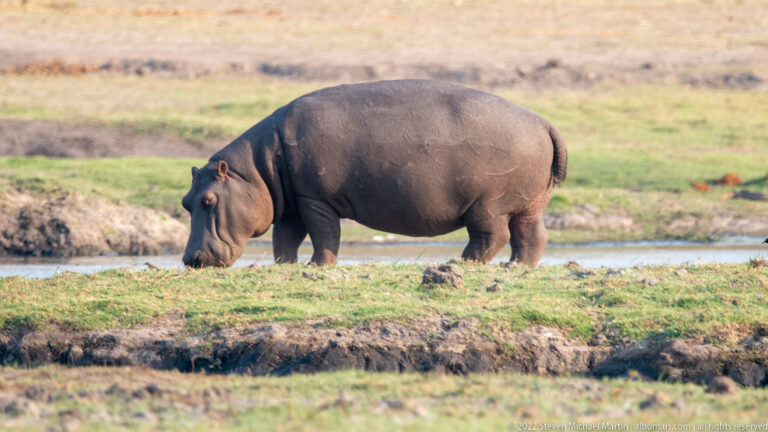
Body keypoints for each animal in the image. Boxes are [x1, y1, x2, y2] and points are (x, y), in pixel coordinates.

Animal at [182, 79, 566, 267]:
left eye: (209, 199)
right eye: (186, 201)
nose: (190, 260)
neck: (256, 169)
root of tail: (545, 123)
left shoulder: (314, 199)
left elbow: (324, 233)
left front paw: (317, 266)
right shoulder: (292, 202)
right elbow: (286, 237)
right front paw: (284, 266)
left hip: (488, 205)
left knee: (491, 236)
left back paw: (462, 263)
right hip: (531, 203)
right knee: (531, 236)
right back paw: (516, 267)